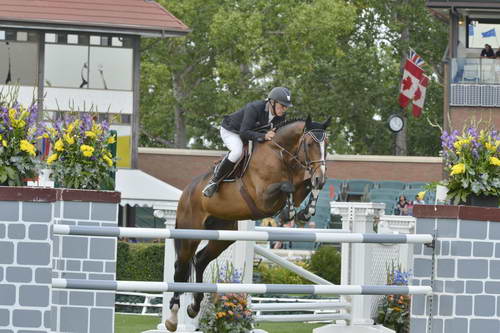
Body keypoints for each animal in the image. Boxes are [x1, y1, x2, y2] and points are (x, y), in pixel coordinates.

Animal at [165, 114, 332, 330]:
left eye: (326, 145)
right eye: (310, 143)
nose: (321, 176)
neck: (281, 154)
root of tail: (186, 191)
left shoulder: (298, 185)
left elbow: (305, 186)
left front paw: (305, 211)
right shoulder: (262, 198)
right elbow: (286, 186)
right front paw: (288, 213)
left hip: (223, 236)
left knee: (200, 260)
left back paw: (194, 306)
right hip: (189, 234)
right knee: (181, 268)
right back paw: (172, 318)